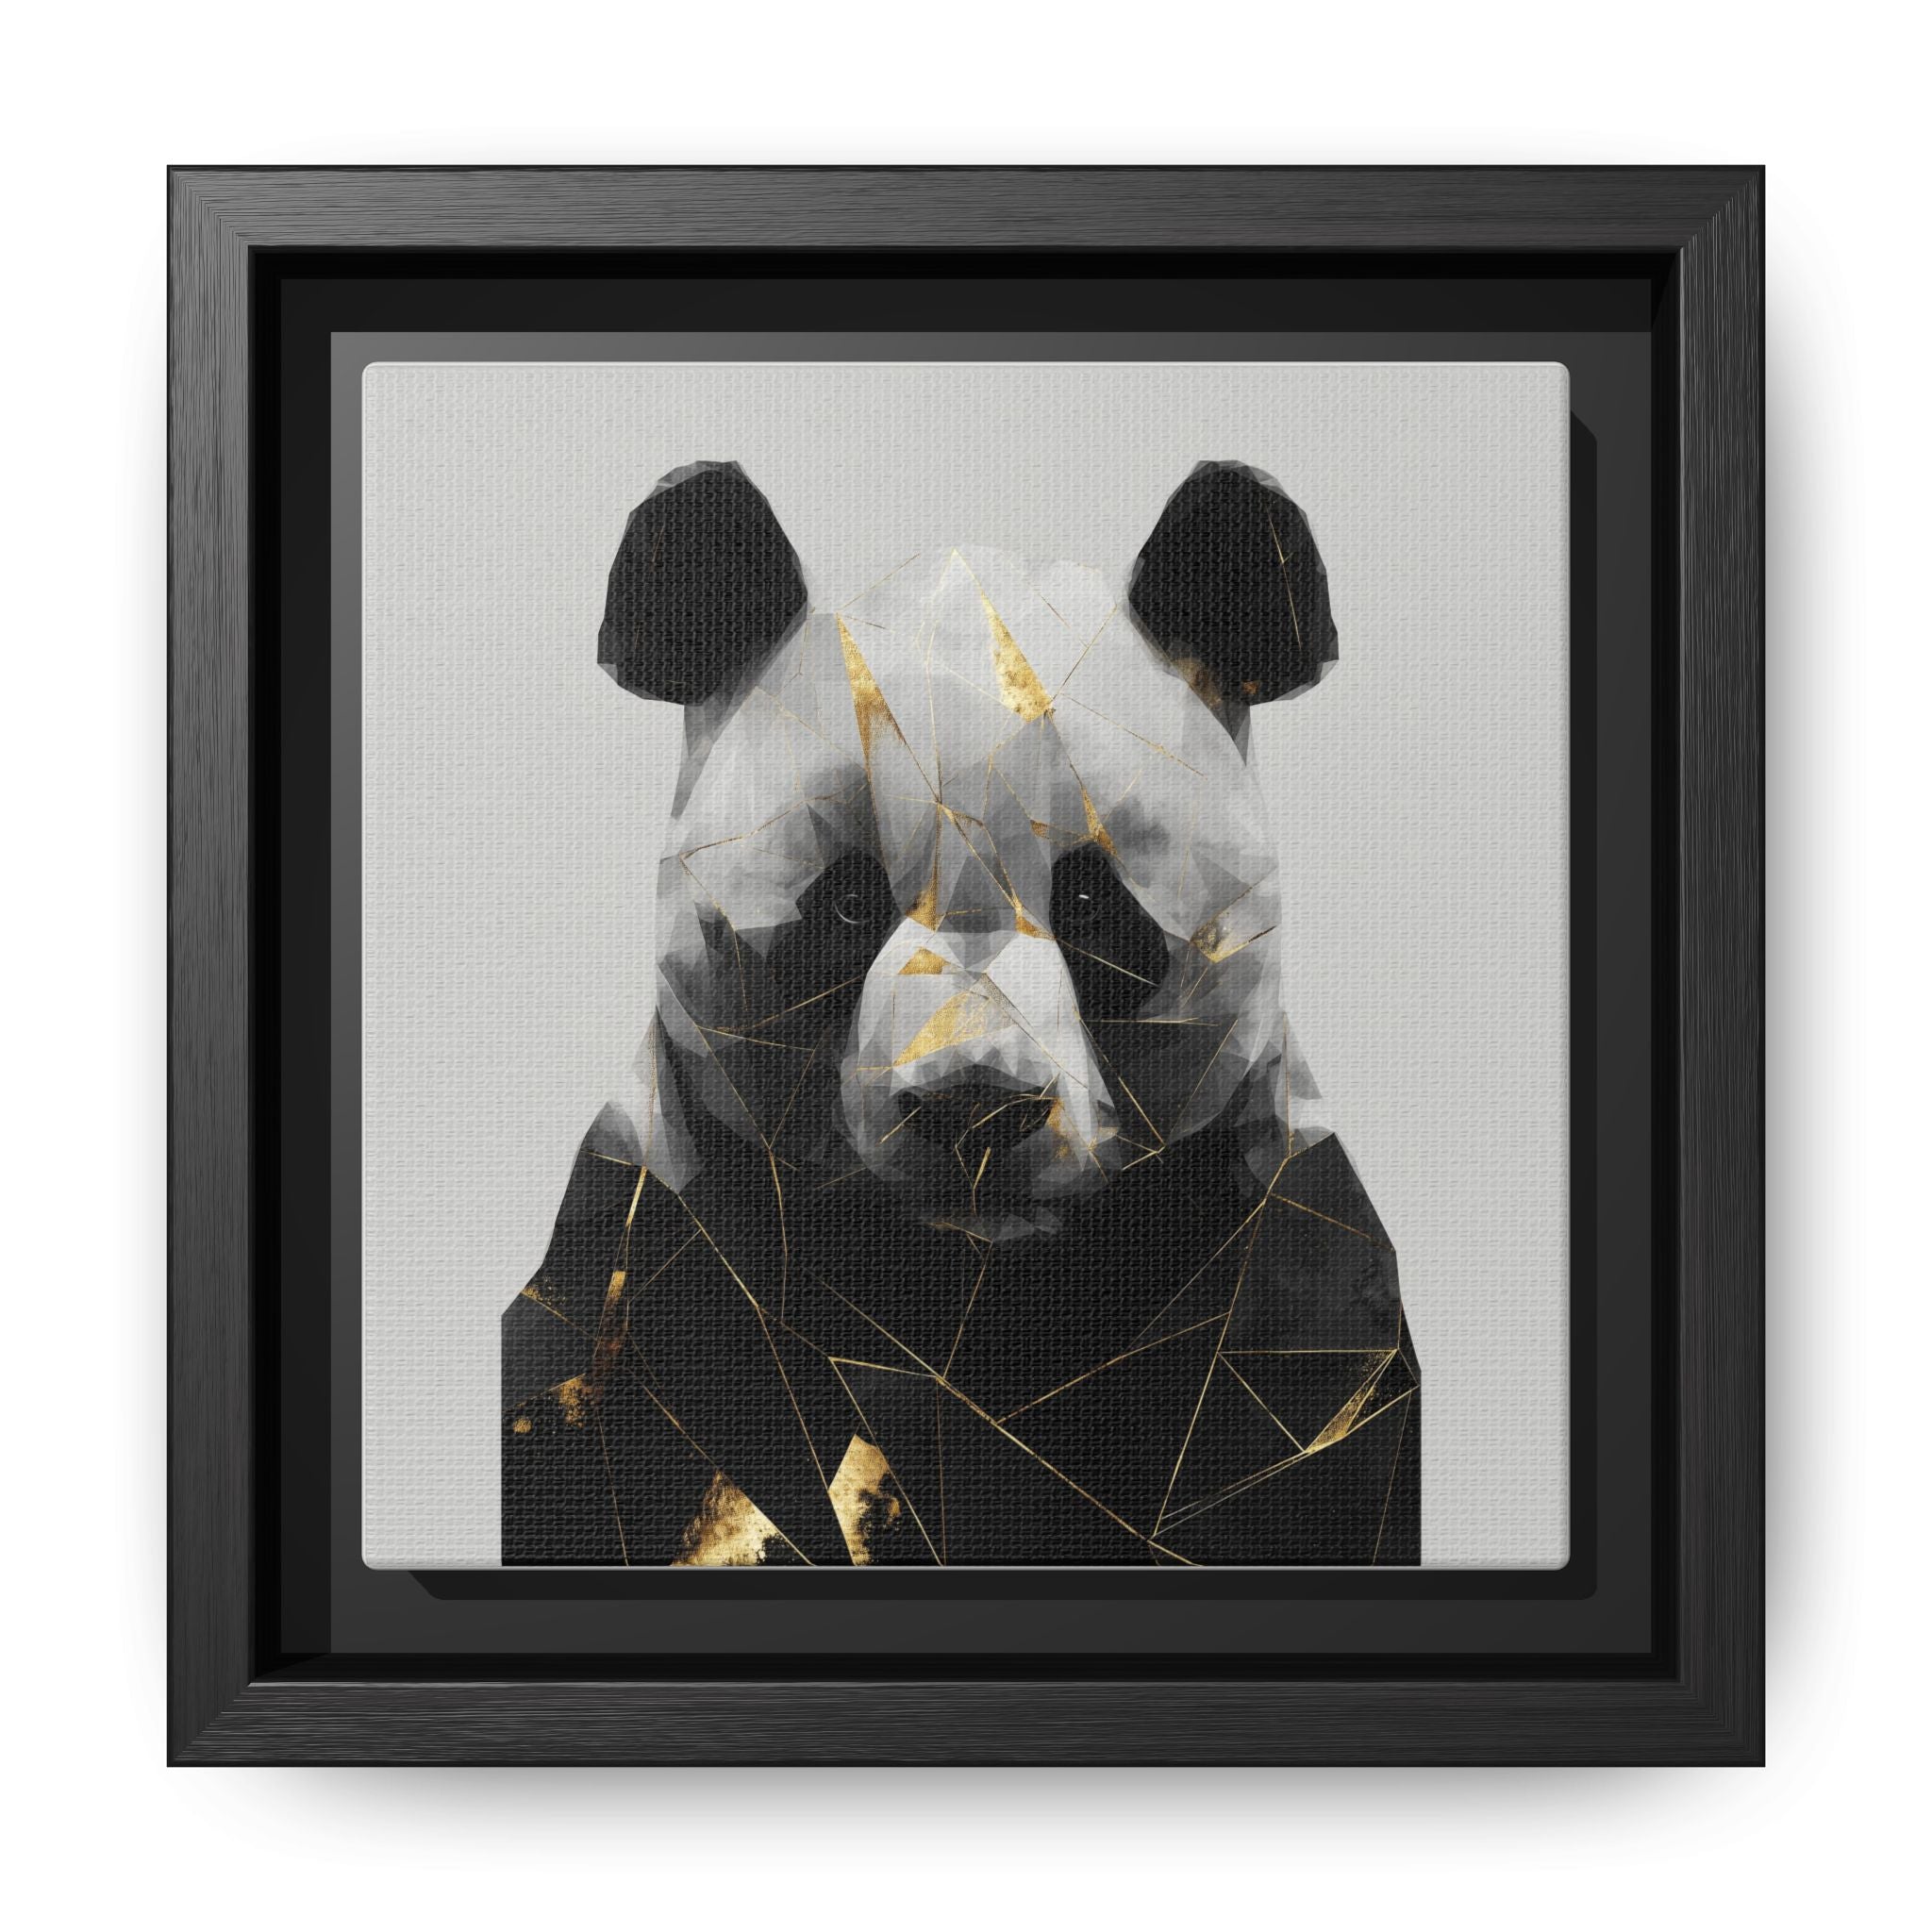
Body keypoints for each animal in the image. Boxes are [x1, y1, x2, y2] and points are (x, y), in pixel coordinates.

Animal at [502, 460, 1419, 1567]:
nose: (974, 1107)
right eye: (848, 903)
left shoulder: (1280, 1289)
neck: (964, 1298)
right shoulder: (658, 1274)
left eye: (1089, 899)